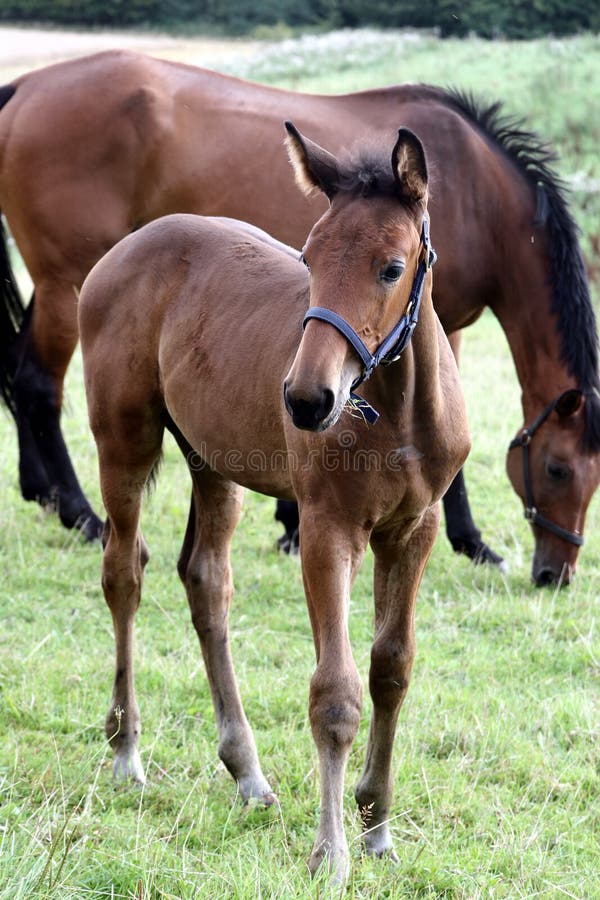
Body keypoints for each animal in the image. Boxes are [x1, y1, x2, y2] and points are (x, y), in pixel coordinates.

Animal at [0, 52, 596, 584]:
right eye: (557, 469)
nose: (557, 572)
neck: (477, 191)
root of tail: (26, 86)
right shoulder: (442, 323)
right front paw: (473, 541)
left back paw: (40, 491)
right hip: (64, 286)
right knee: (38, 384)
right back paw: (77, 511)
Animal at [79, 125, 472, 880]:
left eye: (392, 267)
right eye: (310, 256)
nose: (307, 399)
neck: (398, 412)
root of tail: (126, 247)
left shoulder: (415, 528)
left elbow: (391, 668)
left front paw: (377, 827)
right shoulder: (327, 529)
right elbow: (336, 694)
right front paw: (331, 853)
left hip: (213, 462)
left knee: (206, 581)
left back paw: (247, 772)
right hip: (125, 441)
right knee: (124, 573)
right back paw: (125, 750)